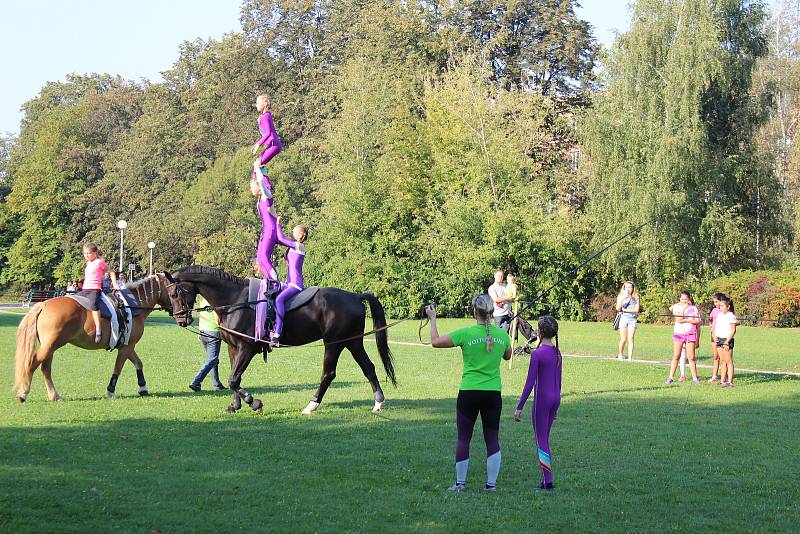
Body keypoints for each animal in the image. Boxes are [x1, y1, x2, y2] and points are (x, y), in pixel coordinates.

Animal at [12, 274, 175, 404]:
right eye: (175, 292)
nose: (178, 312)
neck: (131, 306)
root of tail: (44, 304)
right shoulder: (126, 347)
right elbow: (118, 368)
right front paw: (111, 390)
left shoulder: (128, 345)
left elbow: (138, 363)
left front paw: (143, 387)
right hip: (50, 345)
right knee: (32, 364)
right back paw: (23, 393)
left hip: (50, 347)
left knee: (45, 368)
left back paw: (54, 395)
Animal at [164, 266, 398, 414]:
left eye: (175, 293)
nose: (181, 319)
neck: (235, 300)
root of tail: (355, 296)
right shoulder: (233, 348)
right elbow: (234, 378)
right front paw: (235, 405)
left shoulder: (247, 348)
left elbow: (233, 379)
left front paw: (254, 402)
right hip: (352, 342)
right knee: (368, 368)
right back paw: (378, 403)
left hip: (334, 344)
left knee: (328, 374)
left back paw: (311, 405)